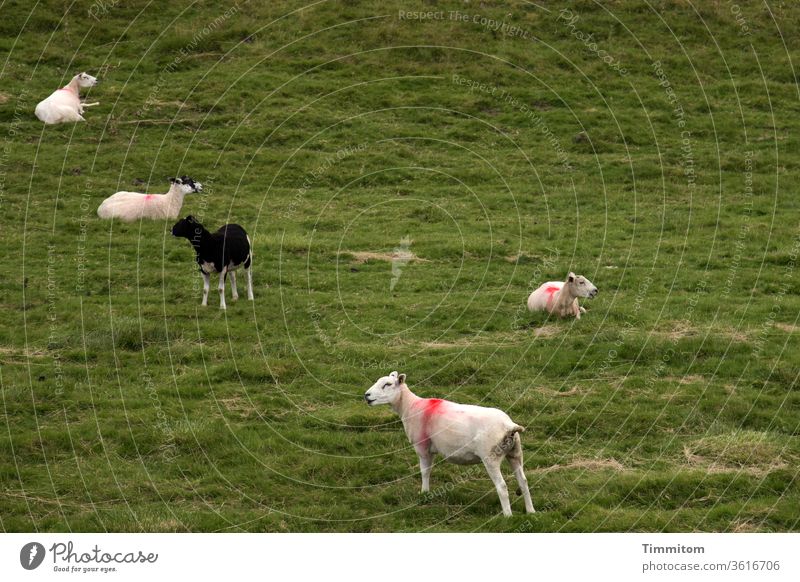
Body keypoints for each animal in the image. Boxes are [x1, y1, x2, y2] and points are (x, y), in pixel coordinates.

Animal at [366, 372, 536, 516]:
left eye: (387, 384)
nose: (366, 395)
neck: (409, 407)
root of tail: (509, 426)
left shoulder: (423, 447)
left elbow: (425, 471)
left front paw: (424, 493)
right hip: (515, 453)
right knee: (523, 481)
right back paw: (531, 511)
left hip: (490, 456)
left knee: (502, 486)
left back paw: (508, 516)